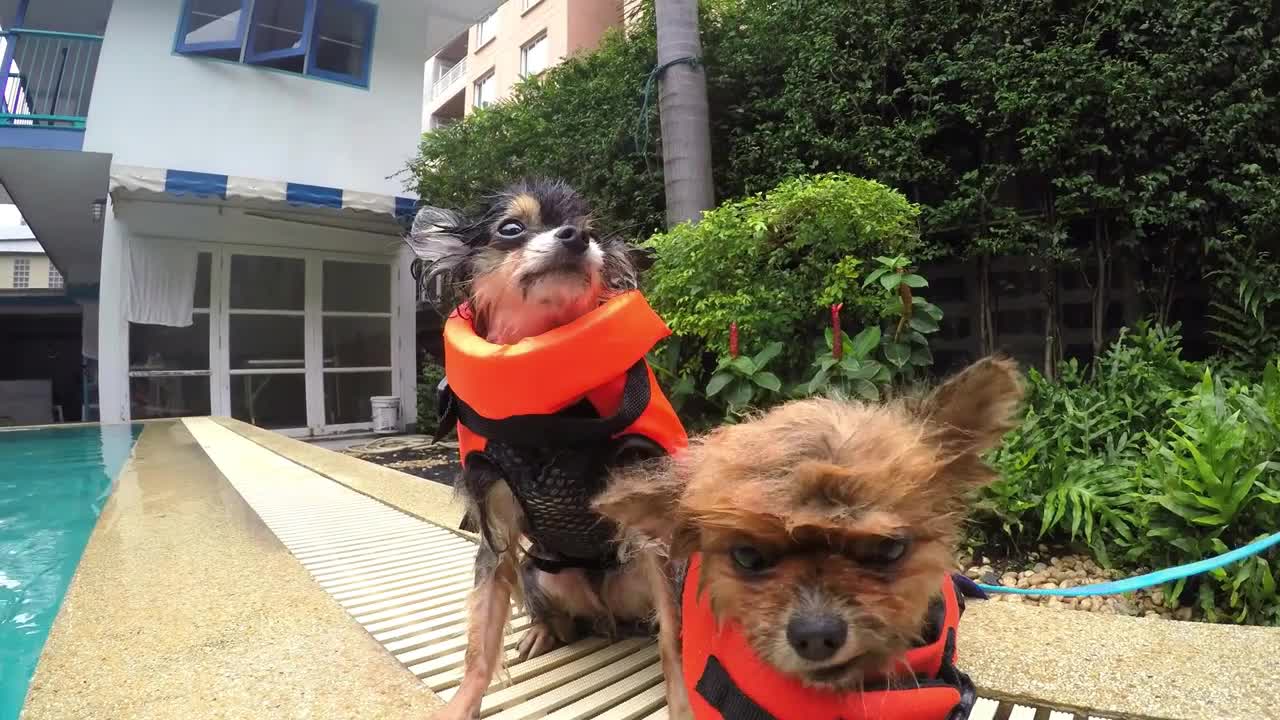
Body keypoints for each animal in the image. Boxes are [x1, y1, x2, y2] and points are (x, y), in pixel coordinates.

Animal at [409, 179, 675, 717]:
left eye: (588, 229)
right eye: (511, 228)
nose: (576, 237)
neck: (546, 411)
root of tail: (605, 615)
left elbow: (676, 645)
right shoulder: (493, 523)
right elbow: (480, 638)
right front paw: (463, 702)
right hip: (540, 573)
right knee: (553, 613)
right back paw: (541, 631)